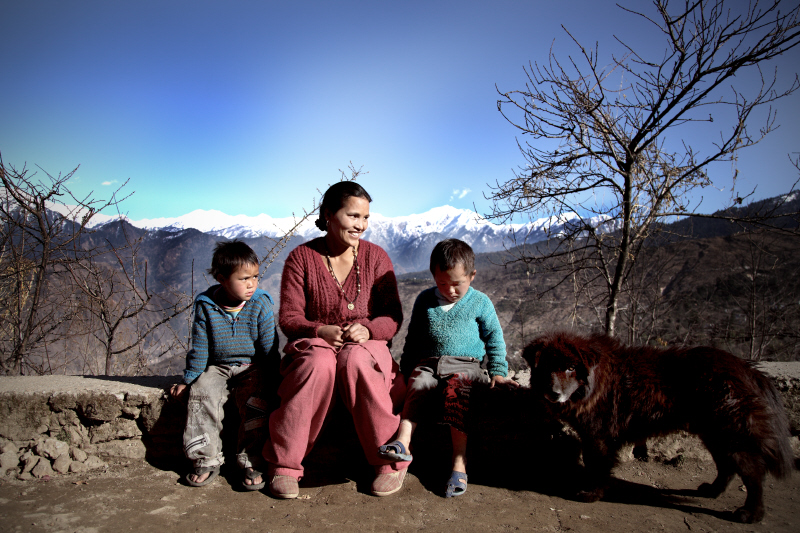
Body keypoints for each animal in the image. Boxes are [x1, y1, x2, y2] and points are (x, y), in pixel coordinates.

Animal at [520, 330, 792, 520]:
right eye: (547, 367)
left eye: (570, 368)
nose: (554, 394)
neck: (595, 382)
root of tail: (748, 369)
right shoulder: (592, 436)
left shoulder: (599, 437)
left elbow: (598, 467)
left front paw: (592, 493)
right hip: (714, 436)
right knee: (727, 467)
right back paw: (712, 491)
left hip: (731, 437)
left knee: (753, 474)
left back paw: (751, 514)